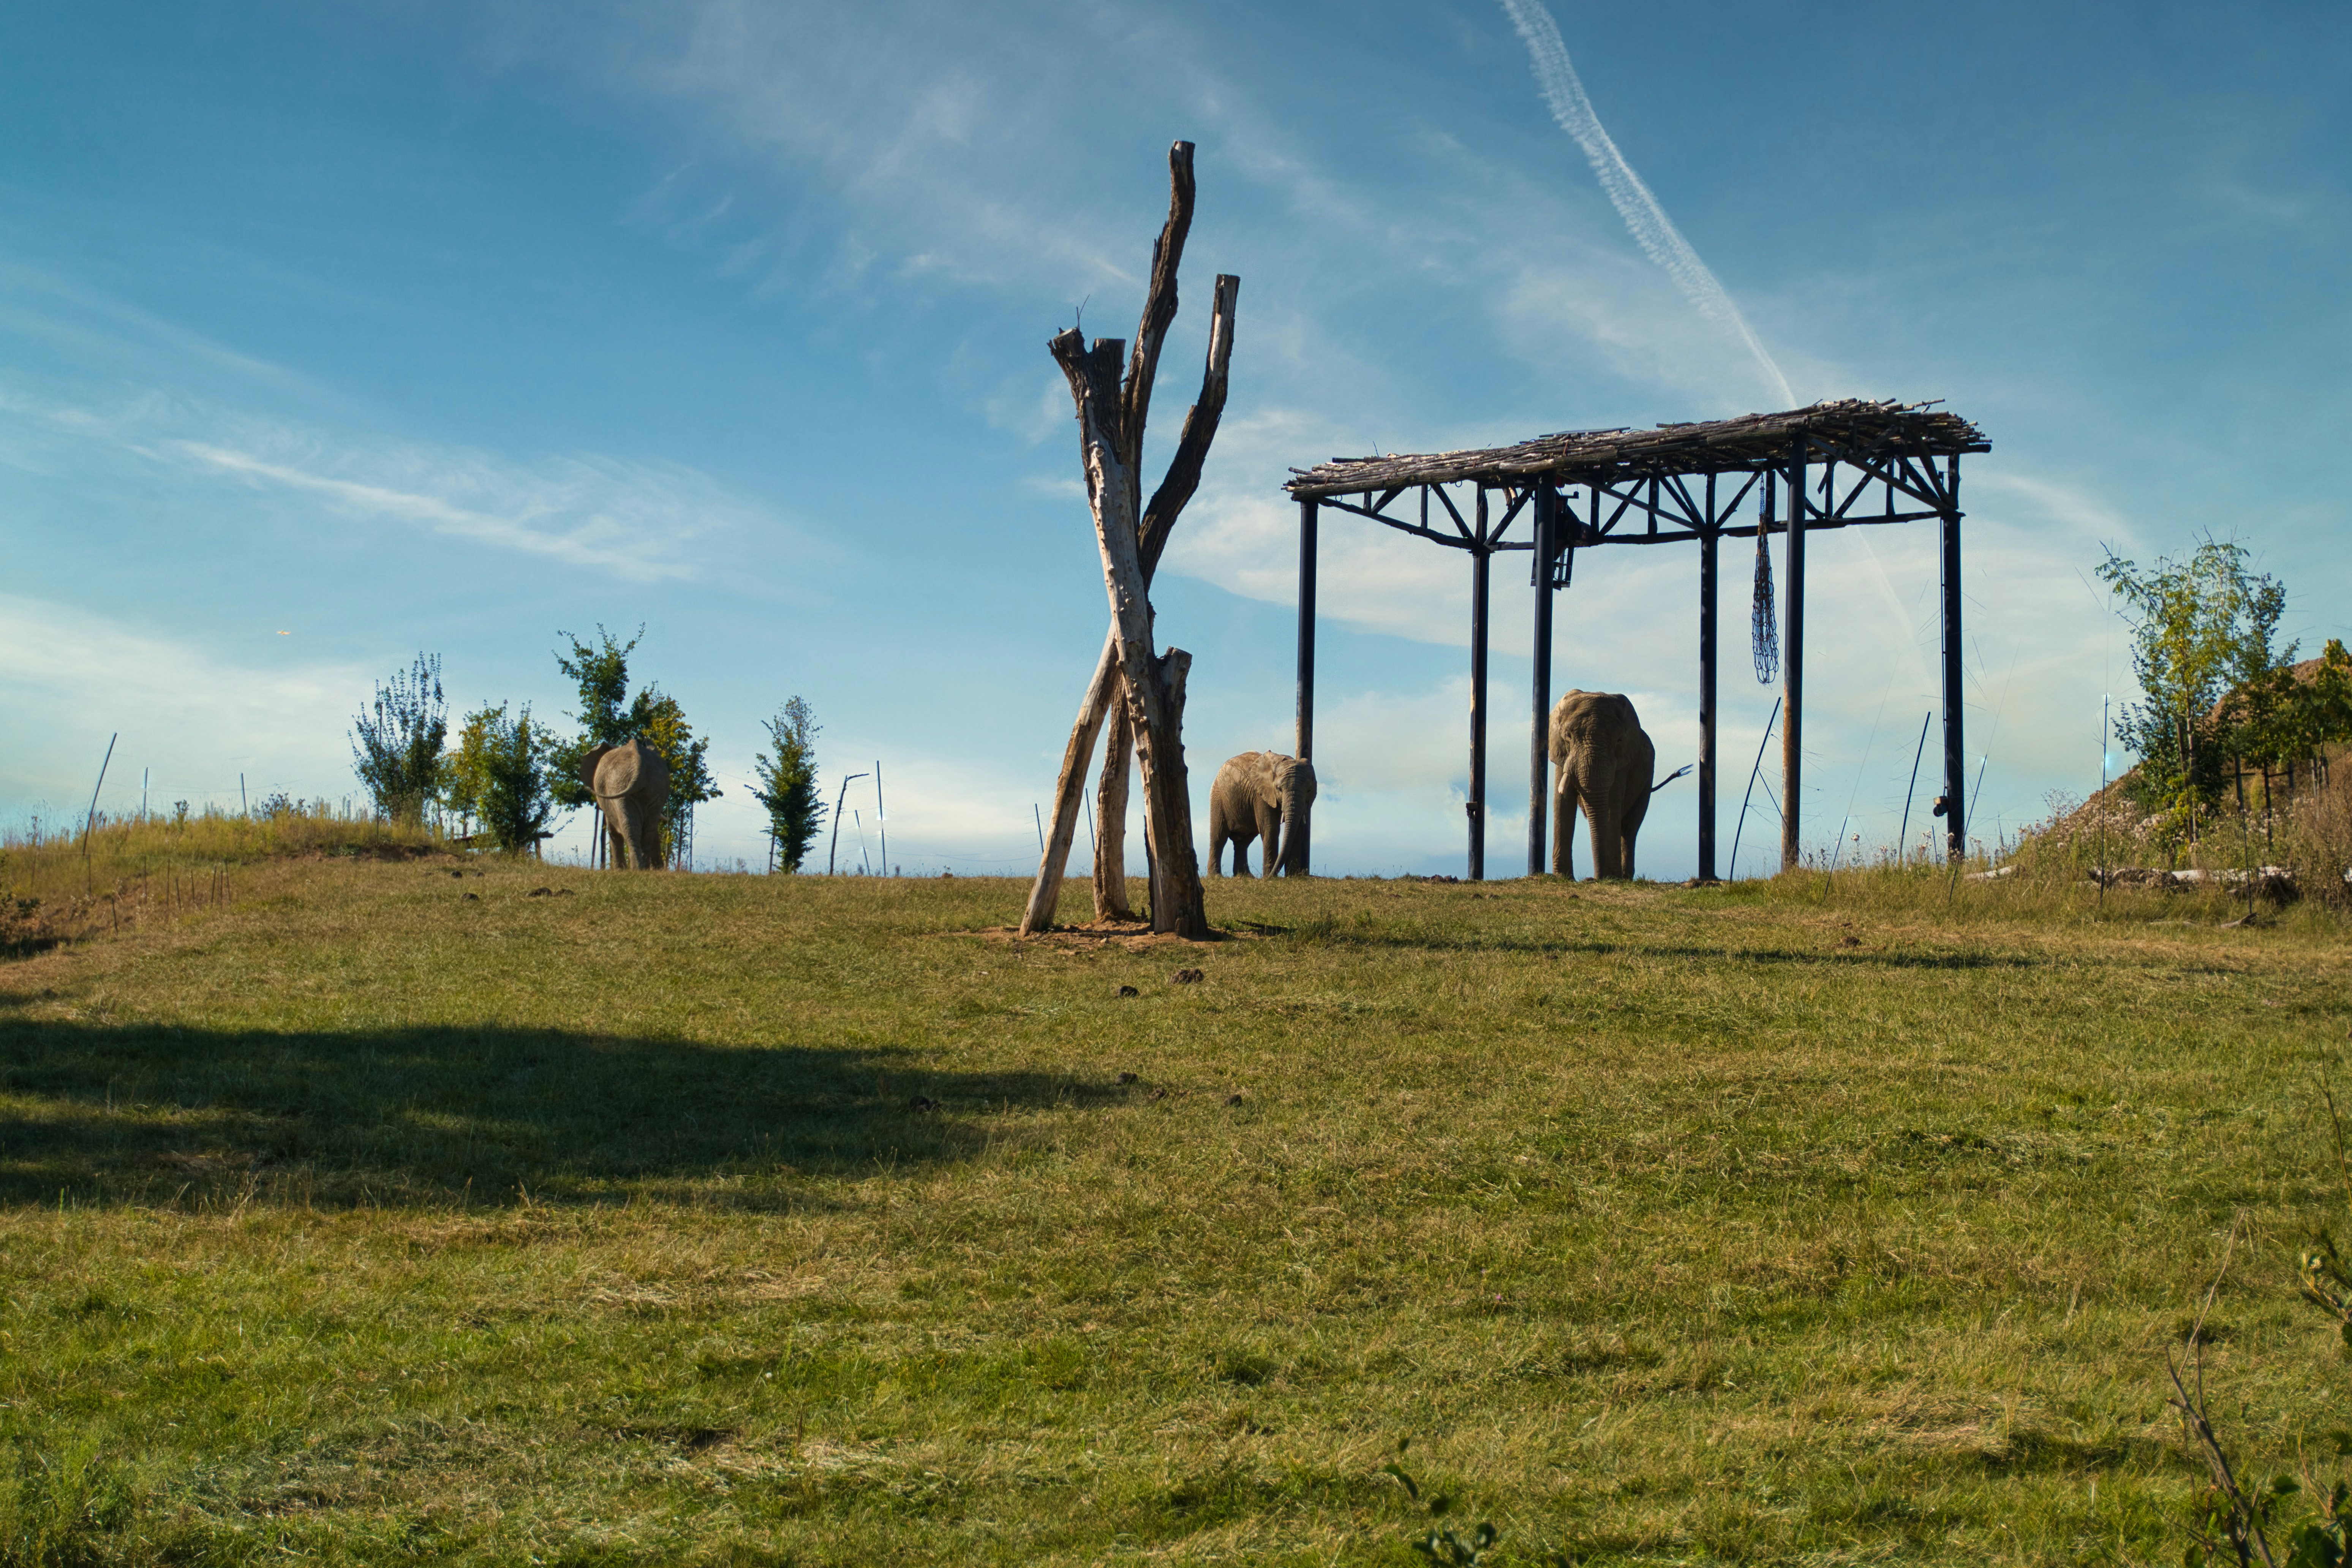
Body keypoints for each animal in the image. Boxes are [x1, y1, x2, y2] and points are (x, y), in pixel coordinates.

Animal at [582, 738, 670, 870]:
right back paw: (643, 869)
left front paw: (619, 870)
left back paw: (636, 869)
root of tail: (640, 765)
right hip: (656, 787)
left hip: (619, 787)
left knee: (629, 826)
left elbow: (613, 831)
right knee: (649, 828)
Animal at [1207, 751, 1316, 877]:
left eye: (1309, 791)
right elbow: (1271, 829)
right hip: (1218, 798)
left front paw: (1293, 876)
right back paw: (1216, 876)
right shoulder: (1261, 795)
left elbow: (1299, 829)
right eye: (1279, 789)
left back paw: (1246, 876)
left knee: (1243, 842)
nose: (1270, 876)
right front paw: (1271, 877)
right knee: (1219, 837)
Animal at [1549, 690, 1655, 880]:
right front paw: (1562, 878)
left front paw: (1612, 878)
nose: (1594, 878)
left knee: (1630, 827)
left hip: (1648, 777)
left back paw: (1624, 877)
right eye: (1568, 736)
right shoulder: (1561, 755)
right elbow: (1563, 802)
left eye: (1619, 740)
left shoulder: (1622, 761)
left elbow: (1612, 804)